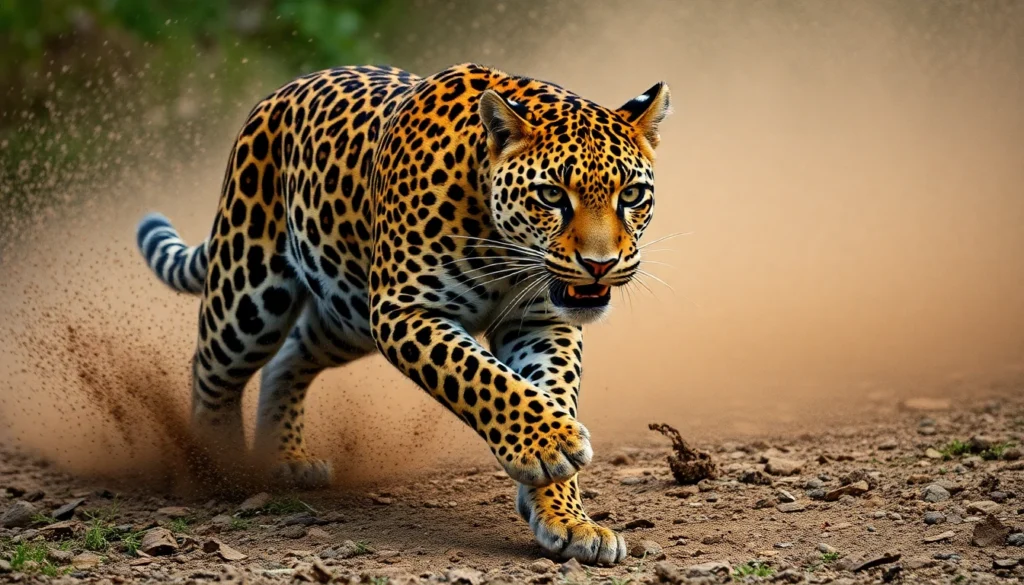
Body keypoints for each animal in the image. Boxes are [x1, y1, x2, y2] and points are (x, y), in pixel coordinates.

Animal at [136, 63, 670, 565]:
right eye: (552, 195)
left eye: (631, 195)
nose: (600, 265)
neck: (498, 237)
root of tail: (281, 91)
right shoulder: (403, 309)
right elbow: (481, 376)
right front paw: (553, 445)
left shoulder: (541, 321)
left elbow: (548, 391)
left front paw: (569, 517)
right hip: (250, 291)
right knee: (213, 369)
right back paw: (221, 470)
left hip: (344, 312)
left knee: (289, 356)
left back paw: (285, 457)